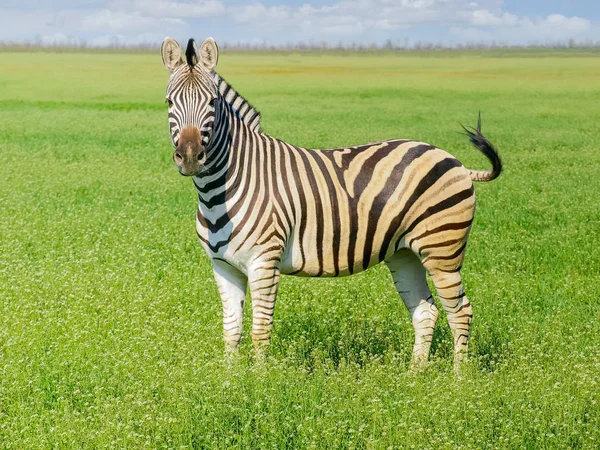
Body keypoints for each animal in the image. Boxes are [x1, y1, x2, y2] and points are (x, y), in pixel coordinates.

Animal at [159, 37, 502, 370]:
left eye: (212, 102)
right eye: (169, 102)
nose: (190, 157)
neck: (219, 192)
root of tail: (455, 160)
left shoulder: (264, 262)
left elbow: (260, 331)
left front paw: (259, 383)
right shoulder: (223, 265)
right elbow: (231, 331)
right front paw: (229, 381)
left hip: (442, 249)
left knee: (460, 312)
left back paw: (457, 380)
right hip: (405, 253)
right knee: (425, 311)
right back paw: (414, 376)